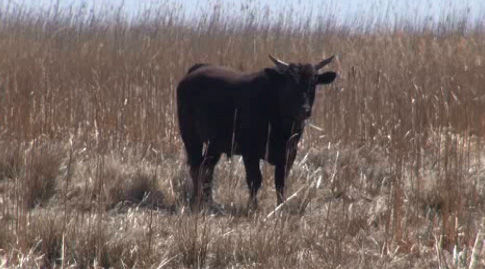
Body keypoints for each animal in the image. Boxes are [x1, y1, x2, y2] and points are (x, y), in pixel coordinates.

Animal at [177, 55, 336, 209]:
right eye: (290, 84)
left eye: (313, 84)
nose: (304, 110)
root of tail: (196, 69)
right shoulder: (249, 153)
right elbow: (255, 180)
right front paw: (253, 207)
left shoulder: (289, 154)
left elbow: (280, 182)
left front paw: (281, 206)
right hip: (191, 139)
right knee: (196, 167)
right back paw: (197, 200)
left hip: (214, 145)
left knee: (207, 168)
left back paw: (209, 200)